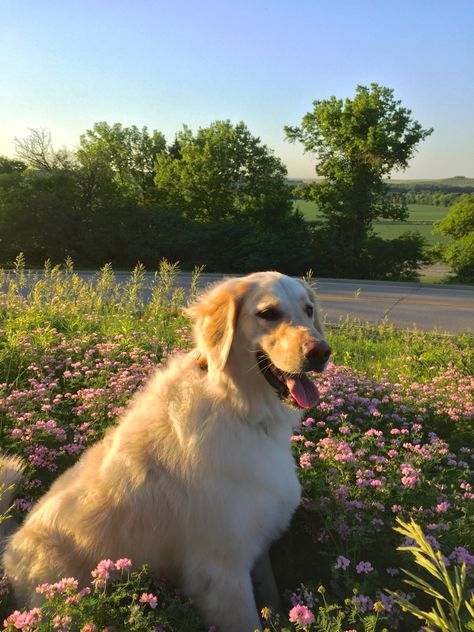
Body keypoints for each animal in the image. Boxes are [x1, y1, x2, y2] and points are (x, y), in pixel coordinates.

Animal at [1, 272, 332, 632]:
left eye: (309, 310)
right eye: (268, 313)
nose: (322, 352)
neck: (236, 403)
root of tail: (9, 547)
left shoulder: (255, 541)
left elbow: (270, 592)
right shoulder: (222, 566)